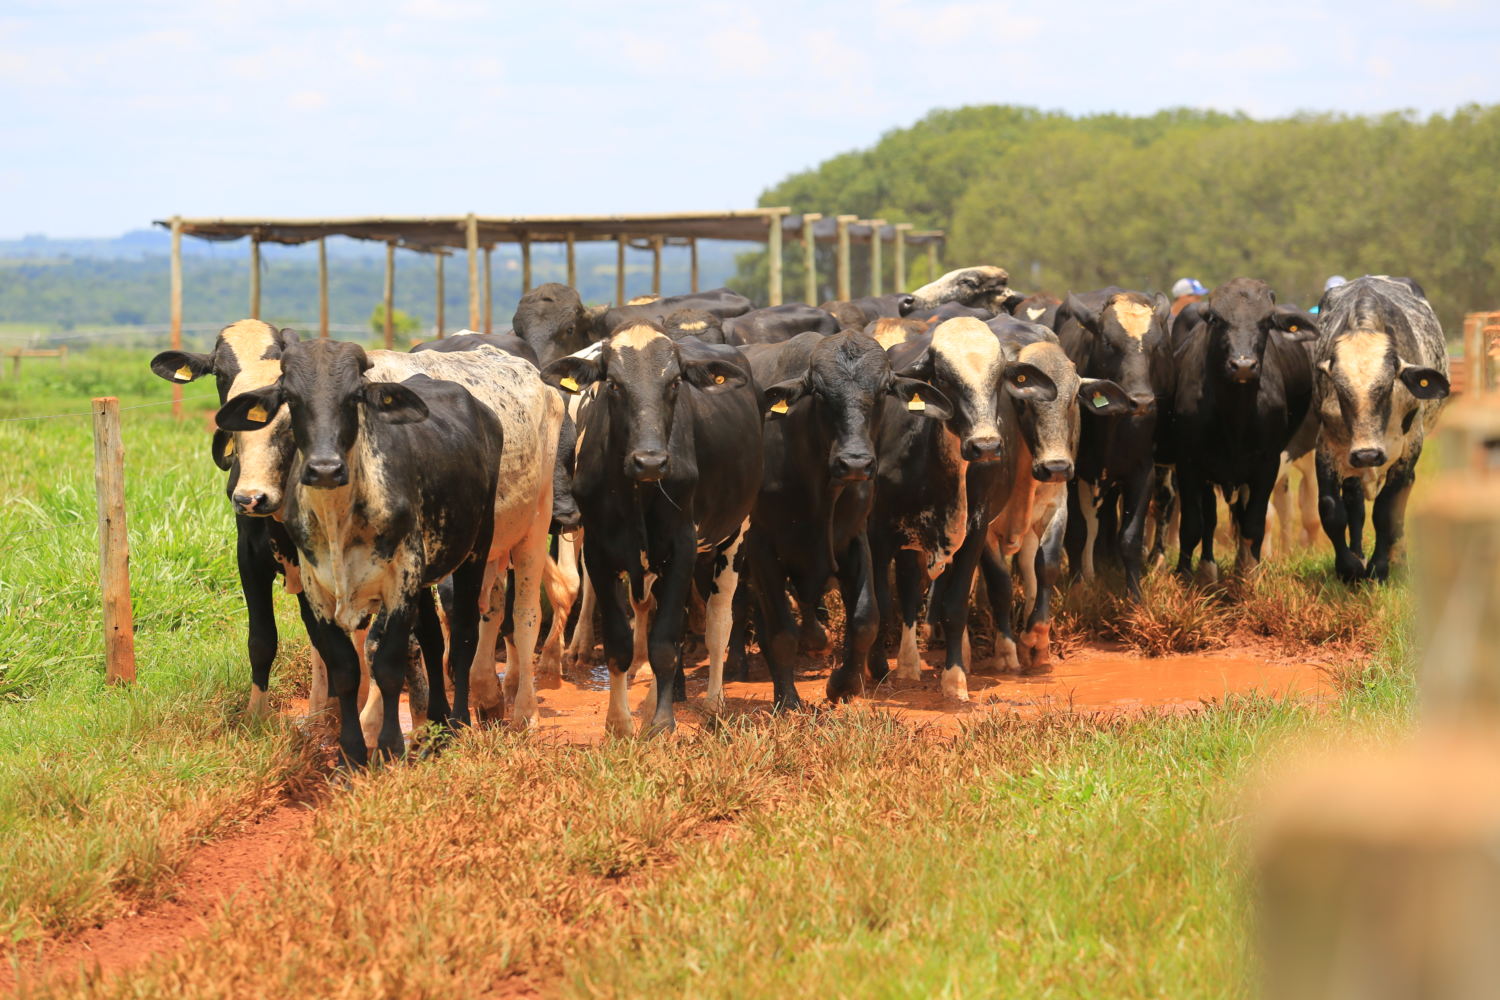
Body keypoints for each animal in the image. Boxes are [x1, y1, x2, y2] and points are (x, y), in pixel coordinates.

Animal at [540, 320, 762, 734]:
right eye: (613, 384)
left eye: (674, 382)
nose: (650, 461)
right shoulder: (599, 551)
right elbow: (619, 643)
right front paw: (620, 721)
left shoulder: (683, 548)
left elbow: (664, 643)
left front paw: (661, 722)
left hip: (735, 534)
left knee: (718, 622)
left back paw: (713, 702)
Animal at [1050, 289, 1176, 602]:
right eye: (1109, 343)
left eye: (1158, 345)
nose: (1141, 401)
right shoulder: (1073, 474)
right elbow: (1077, 533)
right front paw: (1077, 587)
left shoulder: (1143, 473)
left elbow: (1130, 537)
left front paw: (1135, 599)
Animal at [1164, 280, 1320, 578]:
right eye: (1216, 319)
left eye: (1267, 320)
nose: (1243, 365)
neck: (1234, 414)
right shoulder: (1189, 463)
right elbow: (1193, 525)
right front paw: (1185, 575)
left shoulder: (1267, 464)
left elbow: (1254, 523)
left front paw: (1248, 574)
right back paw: (1207, 569)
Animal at [1308, 277, 1446, 581]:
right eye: (1340, 389)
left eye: (1386, 386)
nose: (1367, 455)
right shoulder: (1327, 446)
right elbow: (1331, 508)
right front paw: (1348, 567)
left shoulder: (1410, 448)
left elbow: (1387, 510)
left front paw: (1380, 568)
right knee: (1355, 503)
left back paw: (1398, 558)